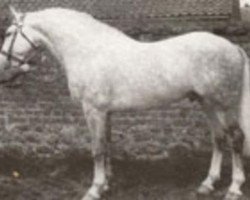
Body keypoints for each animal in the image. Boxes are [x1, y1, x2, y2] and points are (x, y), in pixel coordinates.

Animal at [0, 6, 250, 200]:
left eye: (9, 32)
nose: (3, 65)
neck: (88, 51)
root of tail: (232, 47)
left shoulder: (93, 110)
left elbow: (98, 148)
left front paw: (94, 189)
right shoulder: (106, 112)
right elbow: (107, 145)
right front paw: (106, 185)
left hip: (223, 104)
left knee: (236, 138)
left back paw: (234, 188)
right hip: (208, 104)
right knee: (219, 139)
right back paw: (207, 184)